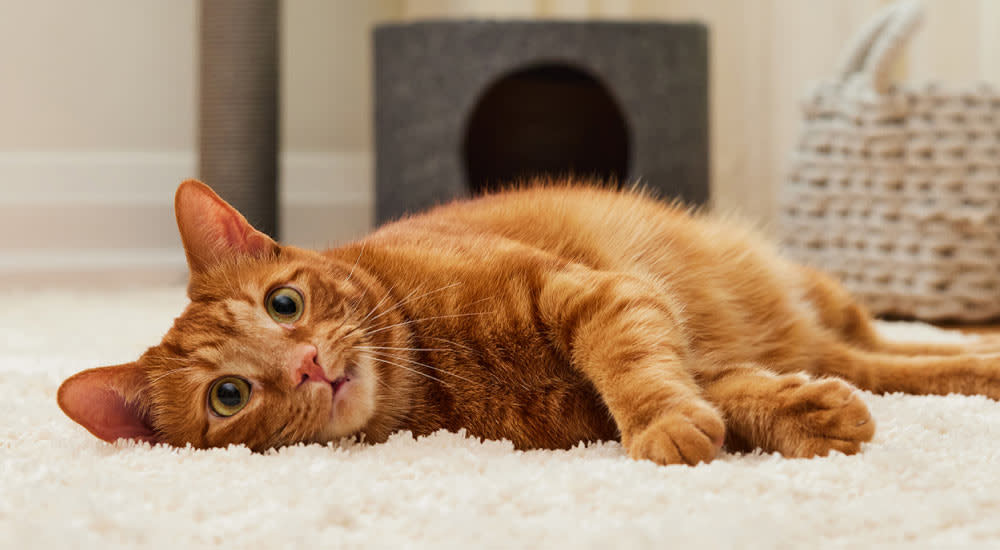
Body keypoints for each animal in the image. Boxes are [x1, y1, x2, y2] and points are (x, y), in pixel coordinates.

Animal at [56, 180, 1000, 466]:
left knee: (897, 347)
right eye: (228, 396)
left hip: (825, 301)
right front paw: (806, 414)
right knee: (883, 364)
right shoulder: (622, 383)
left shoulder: (597, 296)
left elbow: (636, 369)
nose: (309, 369)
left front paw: (663, 420)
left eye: (284, 304)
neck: (437, 374)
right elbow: (733, 395)